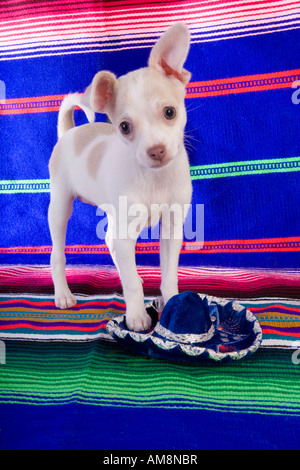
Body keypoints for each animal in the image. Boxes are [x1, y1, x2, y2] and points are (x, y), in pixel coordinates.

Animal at [47, 22, 192, 330]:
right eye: (124, 127)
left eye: (170, 112)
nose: (156, 150)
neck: (154, 179)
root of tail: (69, 133)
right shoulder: (128, 231)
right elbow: (131, 282)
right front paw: (137, 316)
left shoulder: (171, 227)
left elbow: (168, 273)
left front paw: (171, 302)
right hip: (60, 207)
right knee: (58, 254)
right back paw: (63, 294)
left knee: (112, 243)